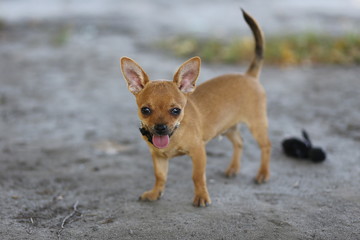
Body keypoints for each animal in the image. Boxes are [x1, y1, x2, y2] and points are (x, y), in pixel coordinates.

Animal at [120, 10, 270, 207]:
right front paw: (155, 193)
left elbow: (197, 177)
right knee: (239, 142)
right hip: (226, 127)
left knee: (266, 146)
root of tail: (249, 76)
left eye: (176, 110)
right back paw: (233, 168)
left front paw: (201, 196)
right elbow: (160, 176)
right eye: (145, 110)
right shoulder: (158, 157)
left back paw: (263, 173)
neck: (174, 135)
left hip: (256, 125)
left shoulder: (198, 152)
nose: (160, 128)